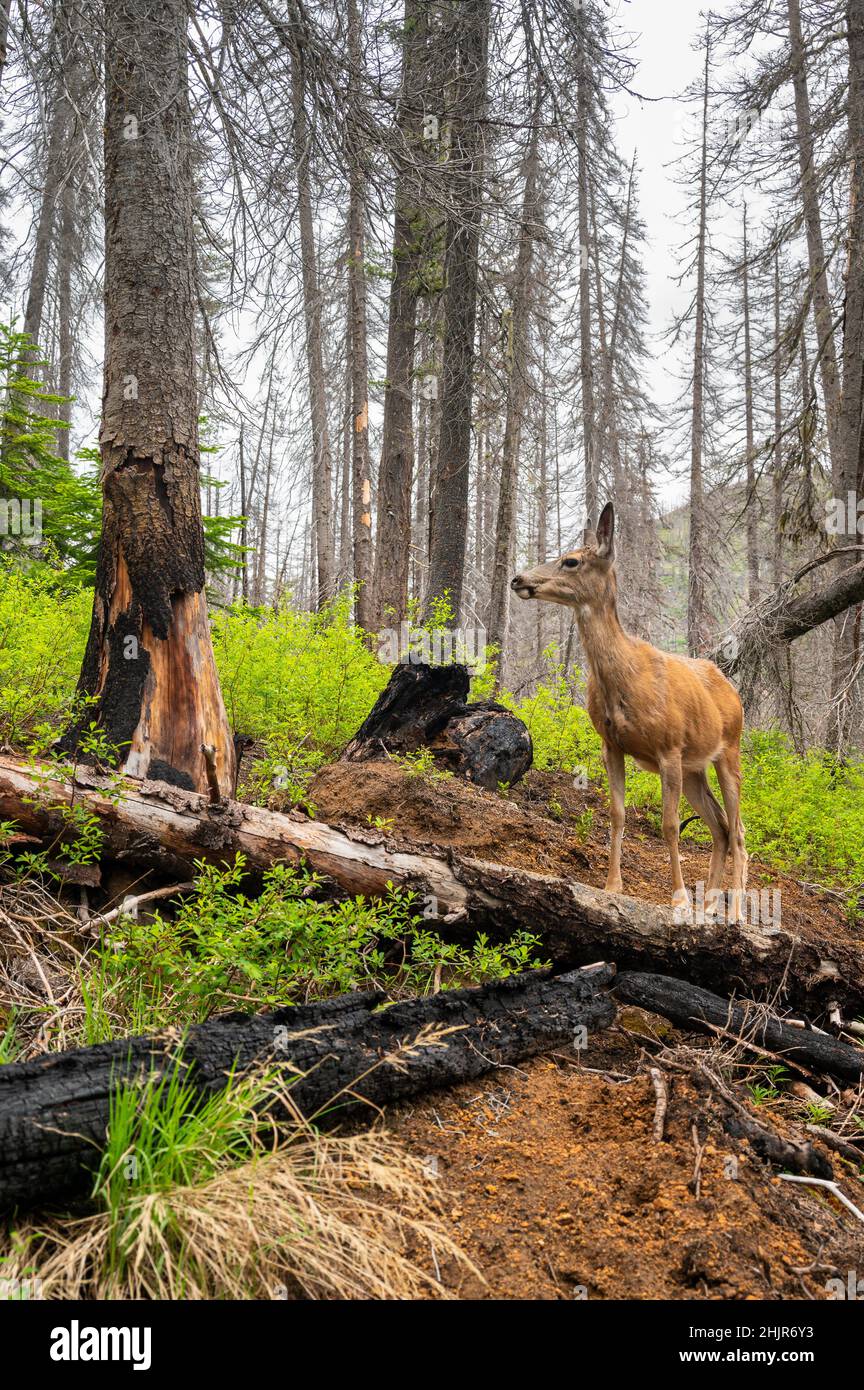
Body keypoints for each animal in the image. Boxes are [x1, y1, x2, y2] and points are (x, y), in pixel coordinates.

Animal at [511, 502, 747, 921]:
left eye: (571, 560)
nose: (518, 578)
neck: (624, 676)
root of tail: (732, 690)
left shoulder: (669, 748)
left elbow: (669, 825)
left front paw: (679, 898)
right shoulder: (612, 744)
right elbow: (617, 814)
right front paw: (612, 886)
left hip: (728, 750)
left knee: (737, 830)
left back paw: (732, 912)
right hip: (695, 768)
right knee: (719, 826)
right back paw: (709, 905)